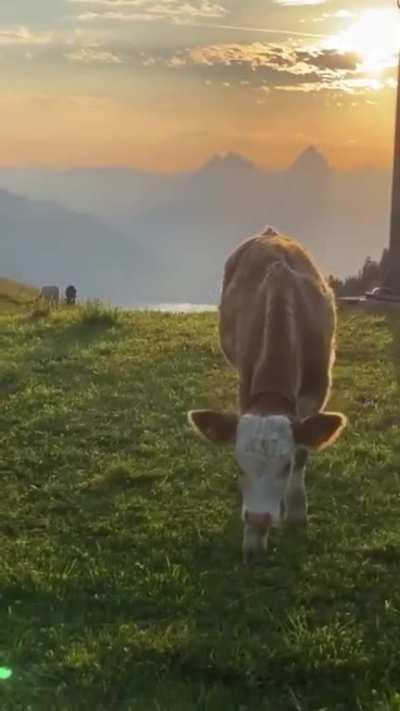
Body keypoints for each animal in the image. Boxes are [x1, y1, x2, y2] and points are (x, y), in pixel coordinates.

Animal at [188, 227, 347, 563]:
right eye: (238, 465)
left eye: (284, 466)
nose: (259, 518)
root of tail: (271, 233)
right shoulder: (245, 385)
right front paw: (253, 539)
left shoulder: (317, 392)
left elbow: (303, 451)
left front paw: (297, 511)